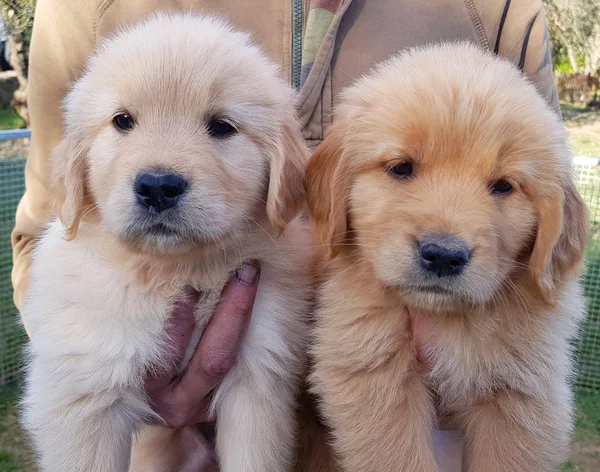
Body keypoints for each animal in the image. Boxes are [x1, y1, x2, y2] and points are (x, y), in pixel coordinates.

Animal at [19, 11, 310, 472]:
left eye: (222, 126)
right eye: (123, 121)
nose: (158, 187)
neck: (173, 270)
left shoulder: (259, 376)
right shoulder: (84, 391)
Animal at [308, 40, 588, 472]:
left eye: (504, 186)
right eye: (401, 167)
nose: (443, 255)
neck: (452, 320)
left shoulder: (524, 394)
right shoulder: (370, 369)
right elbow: (396, 456)